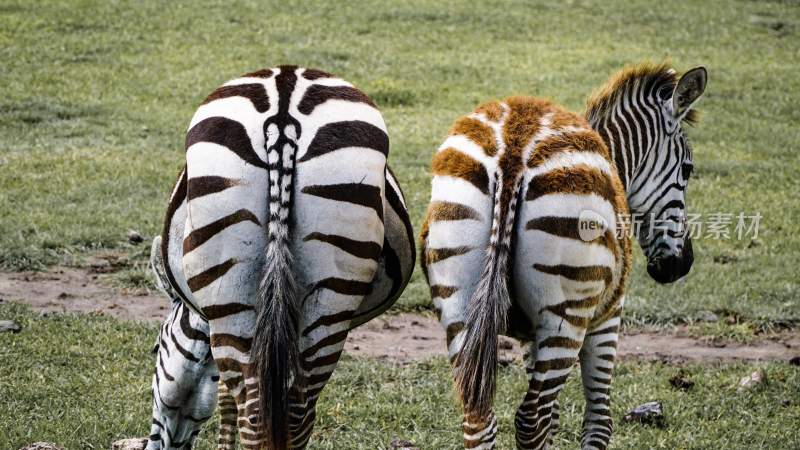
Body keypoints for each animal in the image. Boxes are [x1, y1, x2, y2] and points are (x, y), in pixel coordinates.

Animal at [145, 64, 418, 450]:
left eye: (156, 349)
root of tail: (282, 111)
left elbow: (225, 401)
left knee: (261, 414)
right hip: (323, 300)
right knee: (291, 413)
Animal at [418, 64, 708, 450]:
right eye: (688, 170)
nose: (681, 265)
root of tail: (512, 148)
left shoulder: (531, 336)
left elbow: (553, 421)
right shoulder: (607, 319)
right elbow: (598, 421)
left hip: (458, 300)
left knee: (481, 419)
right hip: (566, 314)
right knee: (530, 419)